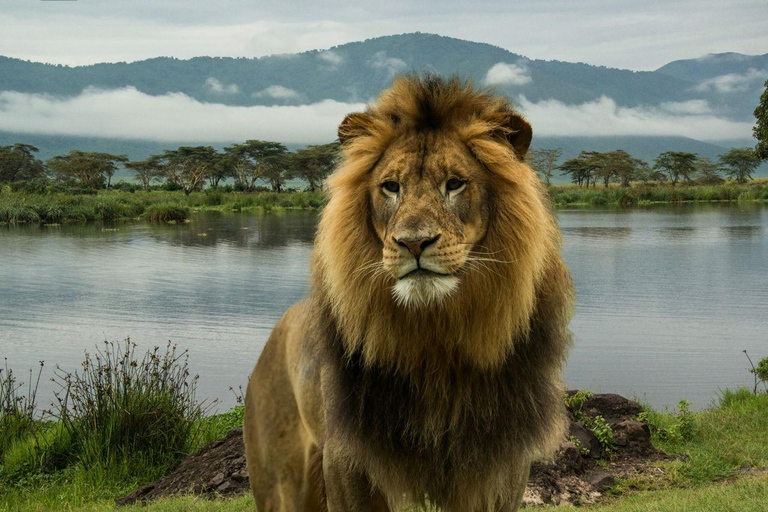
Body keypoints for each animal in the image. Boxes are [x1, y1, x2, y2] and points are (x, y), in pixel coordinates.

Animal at [243, 73, 572, 512]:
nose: (414, 242)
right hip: (282, 483)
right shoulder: (348, 460)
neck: (433, 337)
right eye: (390, 187)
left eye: (455, 184)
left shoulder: (500, 465)